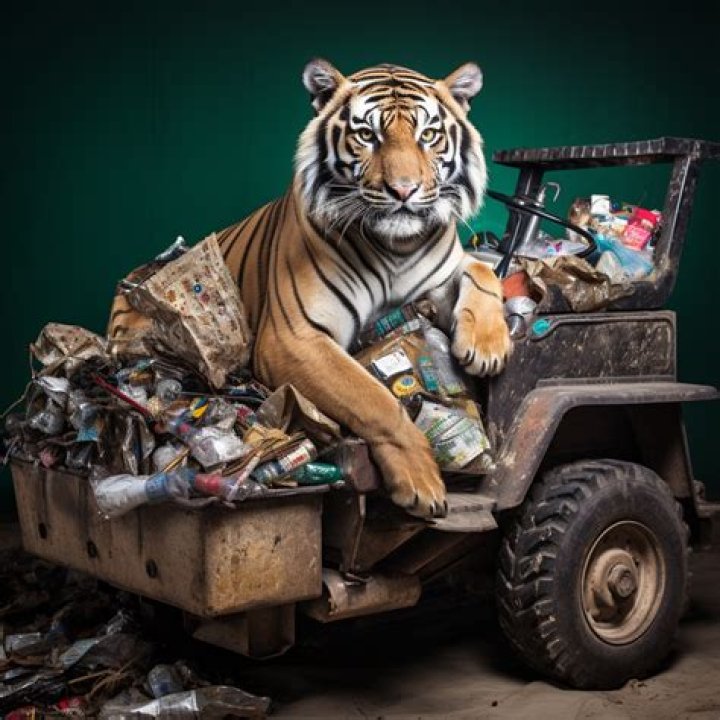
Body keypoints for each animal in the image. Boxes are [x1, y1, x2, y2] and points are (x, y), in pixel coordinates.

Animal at [108, 59, 512, 519]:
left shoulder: (437, 281)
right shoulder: (294, 339)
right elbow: (375, 399)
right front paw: (422, 481)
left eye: (428, 135)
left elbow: (483, 270)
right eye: (367, 135)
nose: (404, 190)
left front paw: (486, 346)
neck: (397, 246)